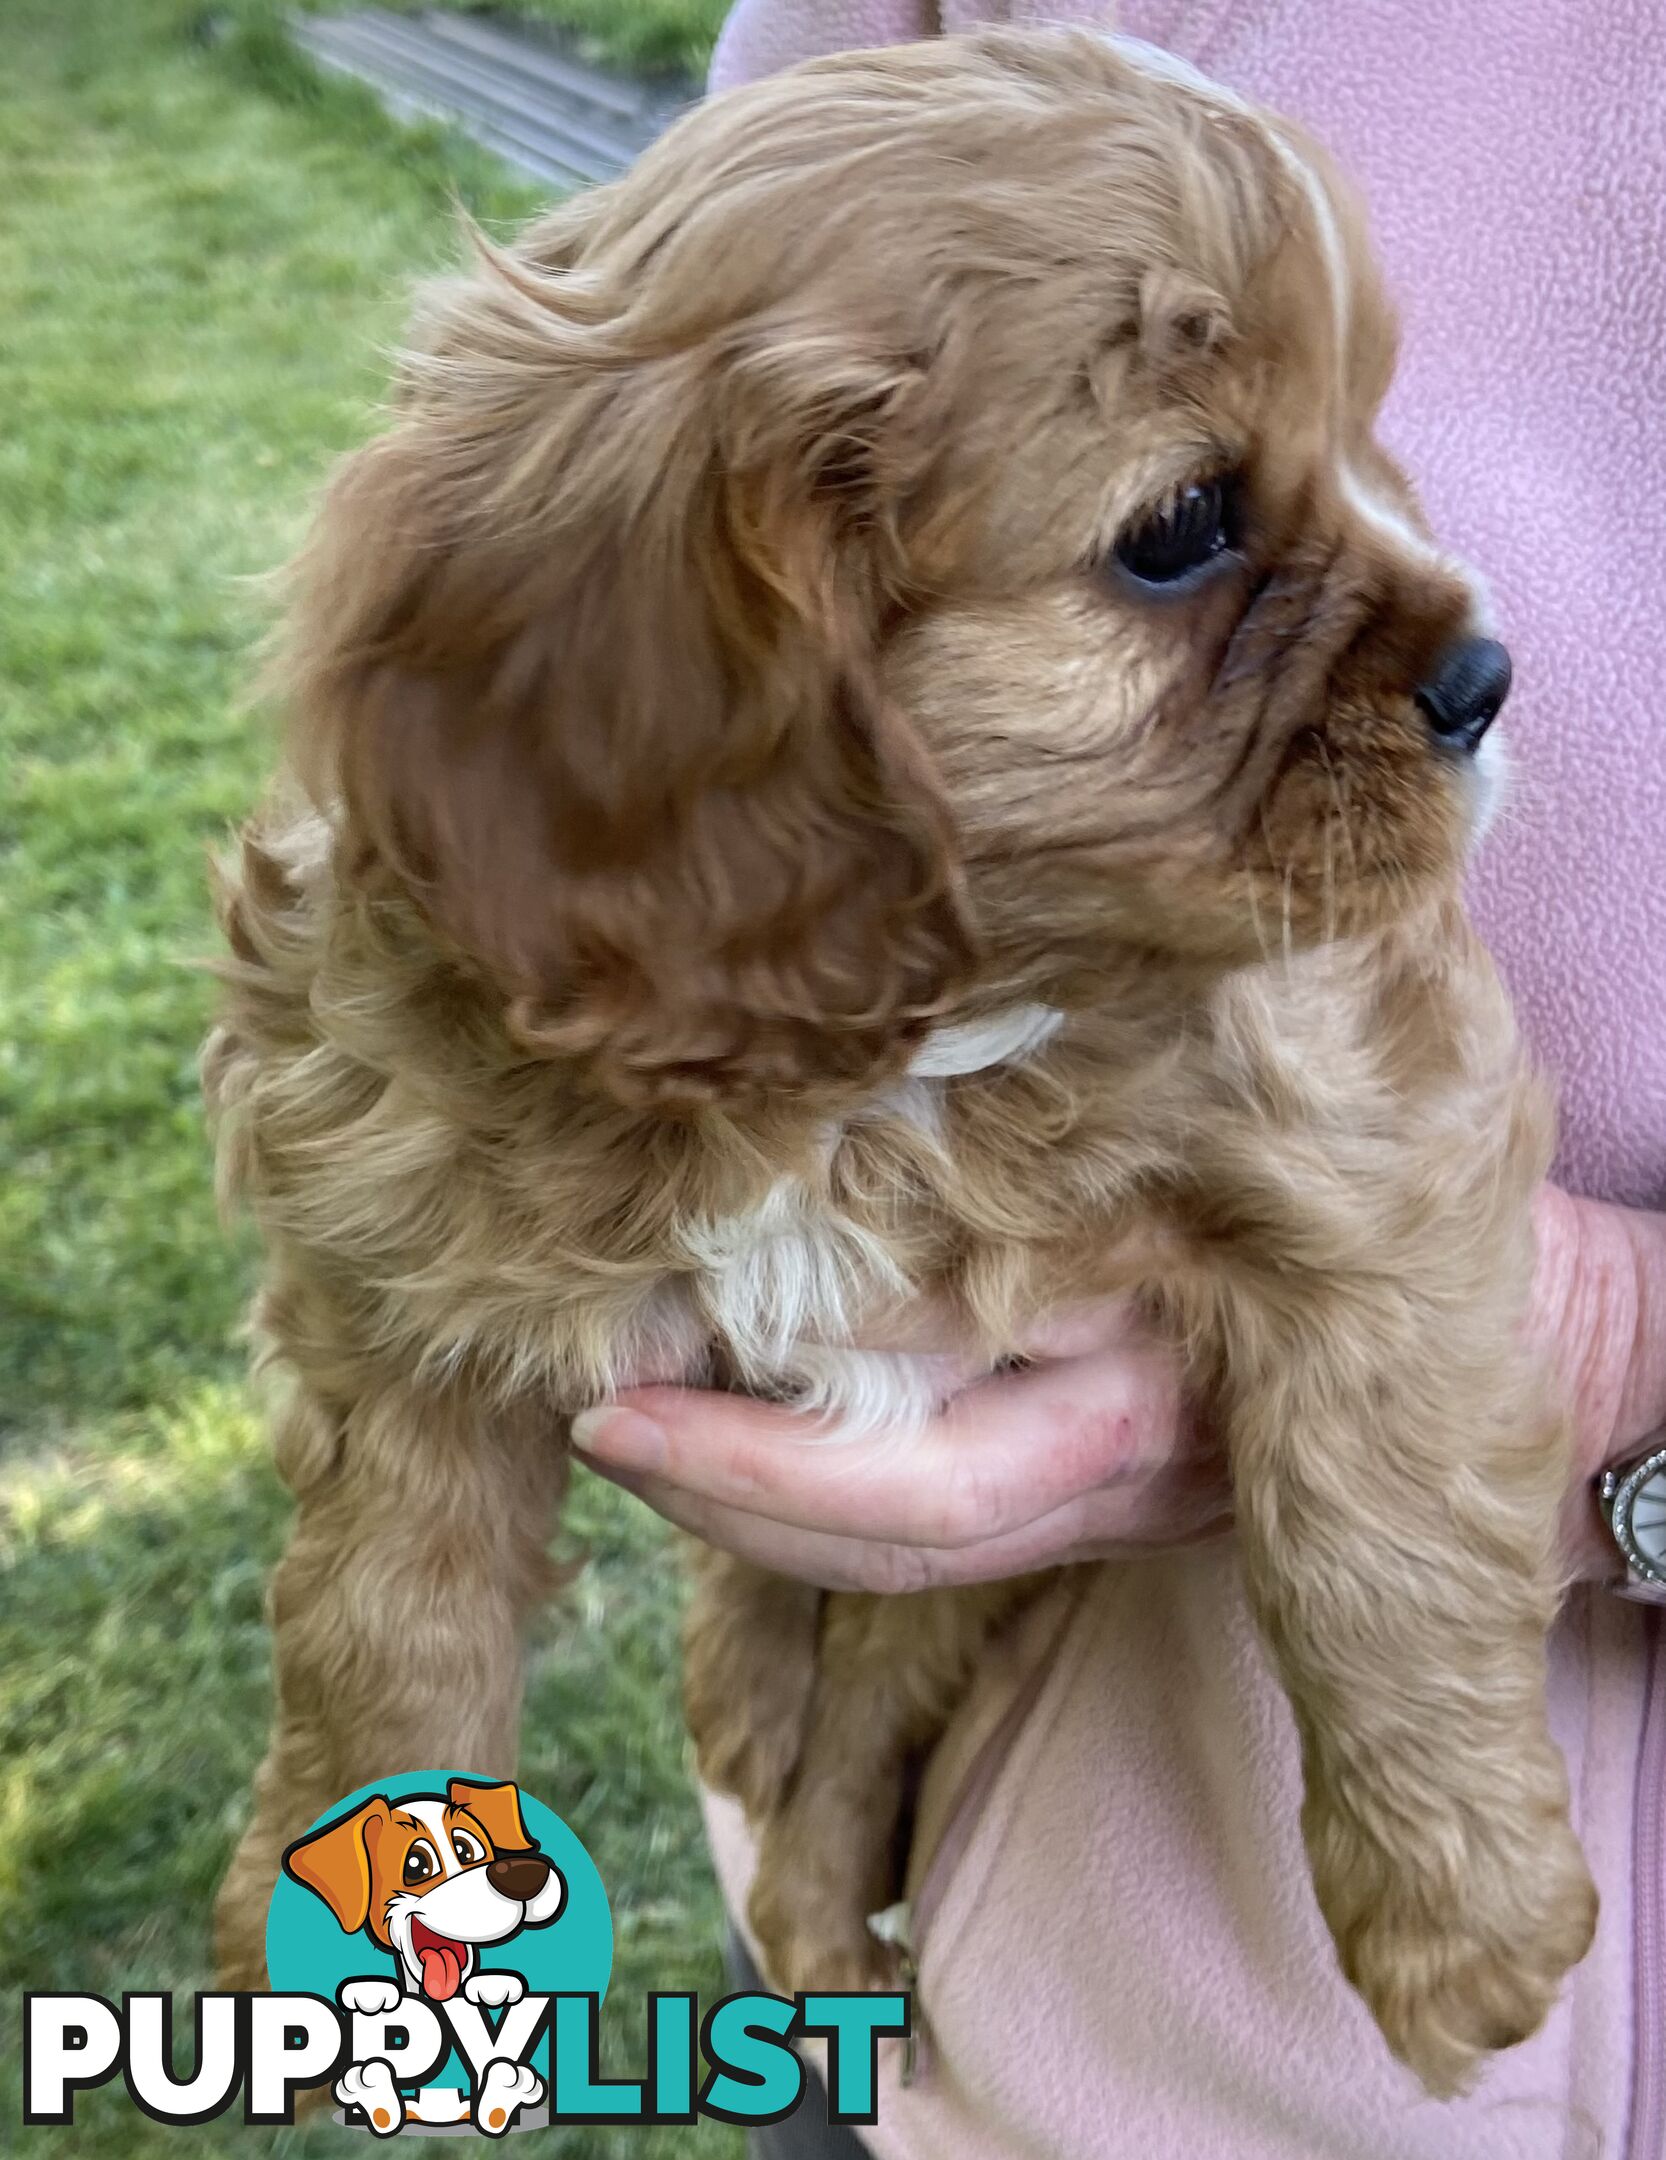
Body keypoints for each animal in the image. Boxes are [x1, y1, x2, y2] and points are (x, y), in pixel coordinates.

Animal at [208, 29, 1599, 2090]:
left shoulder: (1370, 1127)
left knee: (866, 1723)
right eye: (1179, 528)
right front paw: (310, 1915)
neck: (883, 1062)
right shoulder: (390, 1243)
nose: (1487, 680)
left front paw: (1468, 1924)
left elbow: (1380, 1519)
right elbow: (381, 1609)